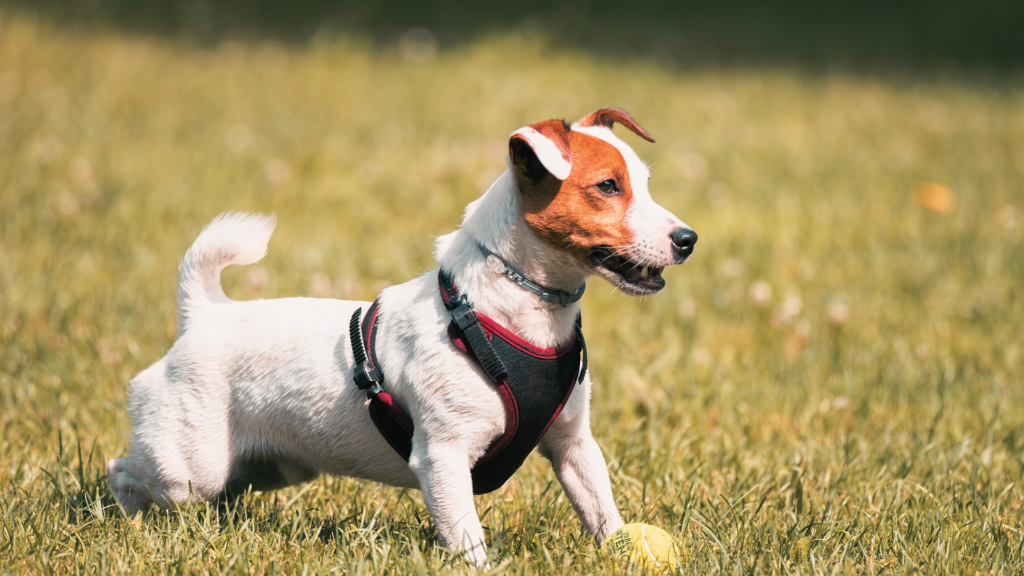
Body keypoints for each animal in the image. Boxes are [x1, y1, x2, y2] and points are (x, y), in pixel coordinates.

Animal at [105, 107, 696, 561]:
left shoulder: (574, 446)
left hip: (265, 467)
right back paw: (127, 522)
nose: (688, 238)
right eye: (607, 187)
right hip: (188, 465)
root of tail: (205, 313)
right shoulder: (444, 457)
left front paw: (622, 548)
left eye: (645, 184)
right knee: (124, 472)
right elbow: (467, 537)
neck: (515, 314)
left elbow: (602, 511)